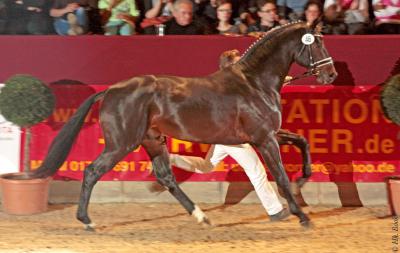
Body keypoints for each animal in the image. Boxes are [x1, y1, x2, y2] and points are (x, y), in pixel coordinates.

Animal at [32, 21, 336, 227]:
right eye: (316, 42)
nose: (330, 75)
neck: (254, 83)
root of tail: (110, 90)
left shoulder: (267, 134)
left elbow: (302, 141)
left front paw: (303, 178)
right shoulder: (264, 138)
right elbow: (281, 176)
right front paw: (302, 216)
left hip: (152, 140)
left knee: (166, 177)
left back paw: (201, 216)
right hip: (122, 143)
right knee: (92, 171)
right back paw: (86, 220)